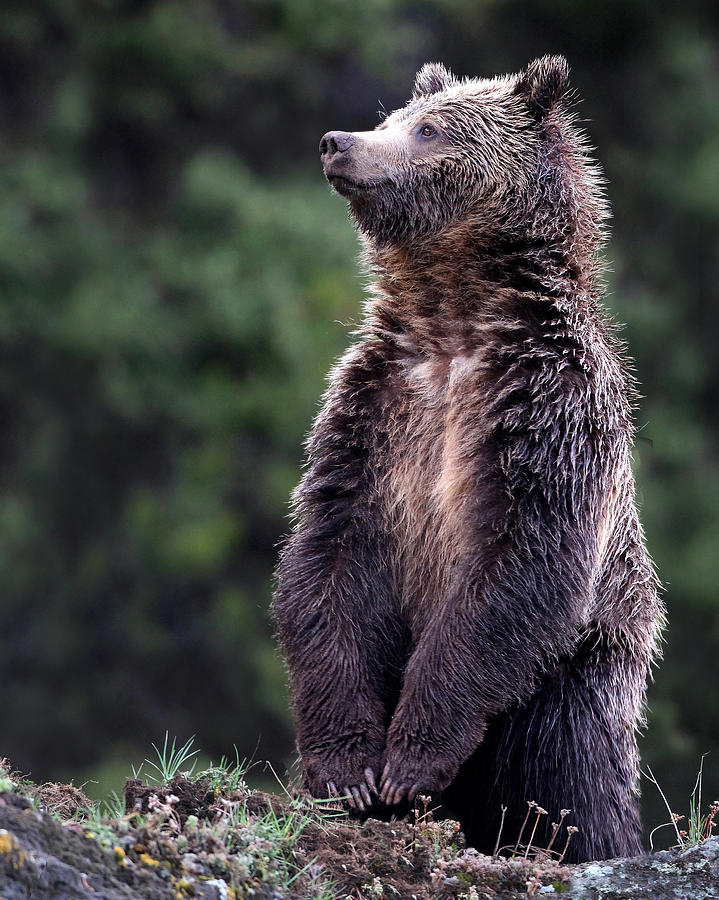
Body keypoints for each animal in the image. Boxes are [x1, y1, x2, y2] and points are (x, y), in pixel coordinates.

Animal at [274, 58, 664, 864]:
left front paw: (410, 760)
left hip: (575, 677)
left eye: (430, 129)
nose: (338, 142)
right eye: (394, 115)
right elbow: (326, 559)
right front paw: (348, 771)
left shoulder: (545, 415)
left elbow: (517, 564)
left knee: (570, 776)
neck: (453, 321)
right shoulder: (373, 416)